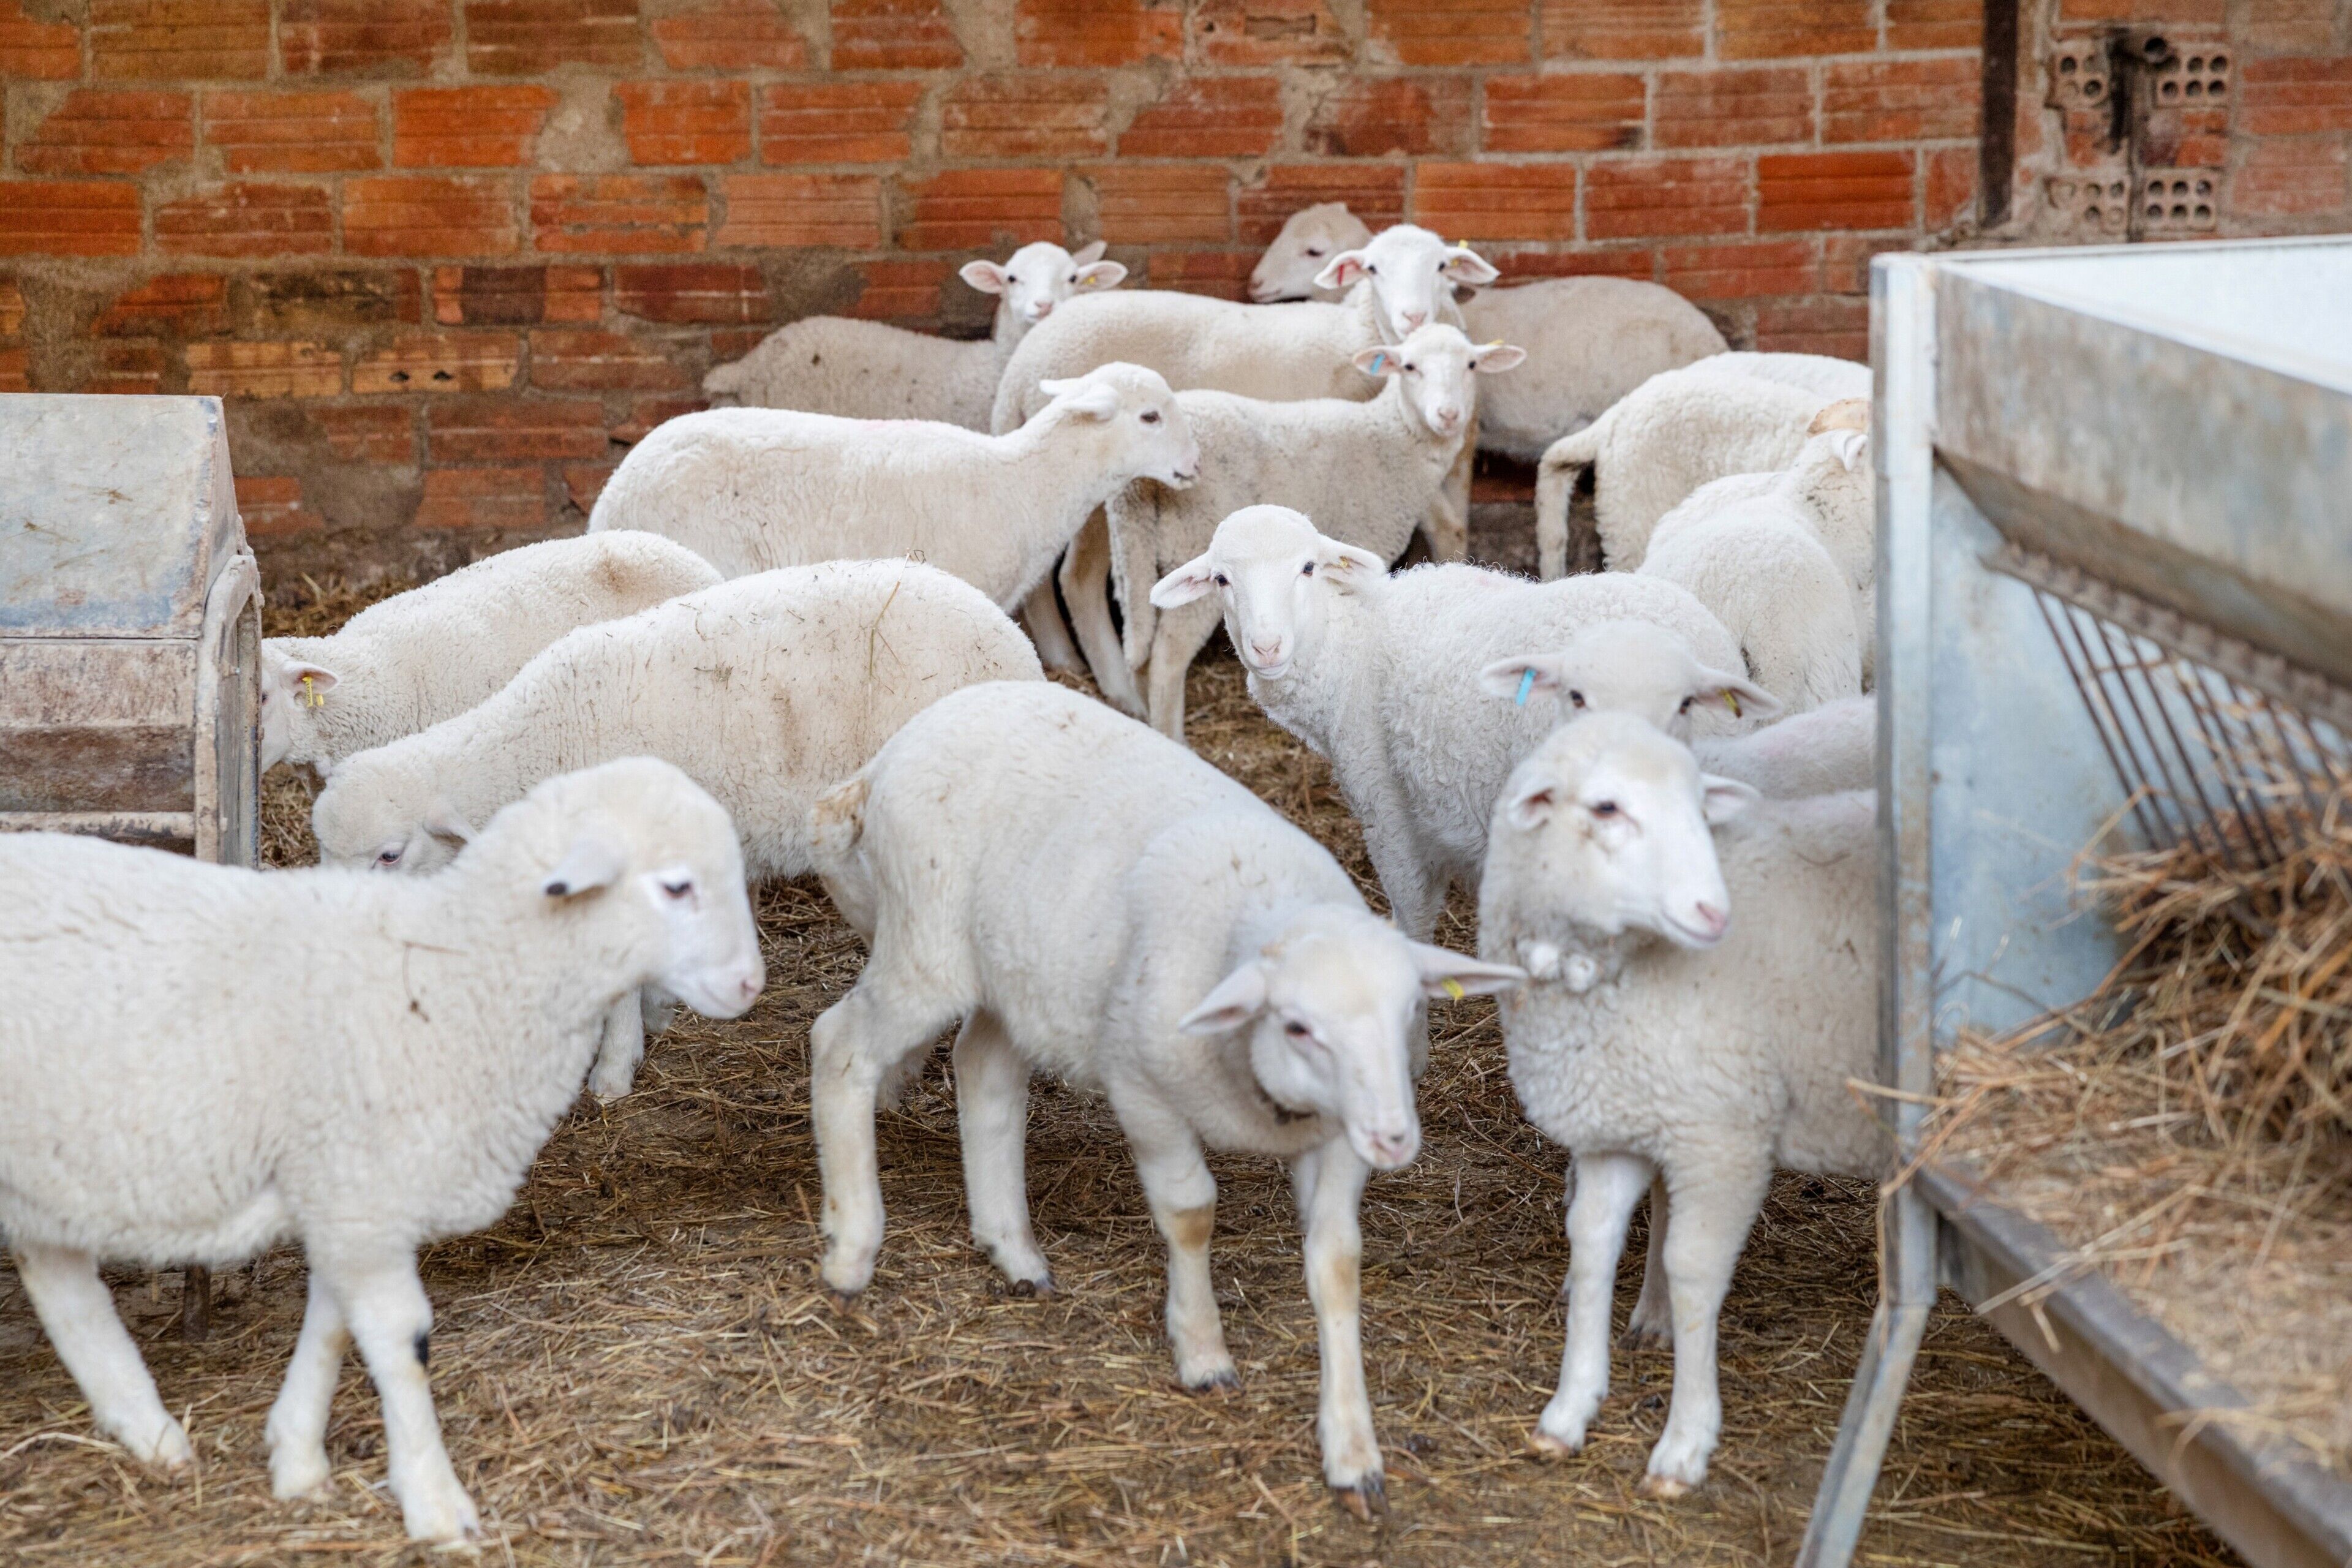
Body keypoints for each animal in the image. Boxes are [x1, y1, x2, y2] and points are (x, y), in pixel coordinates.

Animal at [1, 757, 764, 1542]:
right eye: (677, 885)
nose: (750, 984)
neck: (456, 975)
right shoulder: (362, 1191)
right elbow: (403, 1340)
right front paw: (434, 1502)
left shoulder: (354, 1201)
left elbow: (335, 1326)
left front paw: (297, 1457)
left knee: (61, 1283)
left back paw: (151, 1432)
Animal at [803, 679, 1523, 1513]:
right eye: (1298, 1026)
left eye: (1411, 1007)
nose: (1396, 1139)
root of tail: (885, 756)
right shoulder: (1143, 1092)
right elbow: (1191, 1213)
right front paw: (1203, 1350)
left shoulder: (1337, 1138)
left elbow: (1338, 1263)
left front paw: (1352, 1447)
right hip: (927, 942)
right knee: (842, 1045)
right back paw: (852, 1248)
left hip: (1014, 968)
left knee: (983, 1068)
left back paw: (1014, 1248)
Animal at [1070, 323, 1525, 735]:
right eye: (1410, 367)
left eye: (1471, 366)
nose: (1448, 416)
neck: (1392, 437)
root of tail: (1137, 484)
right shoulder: (1362, 534)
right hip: (1193, 545)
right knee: (1166, 658)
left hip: (1134, 552)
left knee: (1139, 648)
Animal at [1149, 506, 1768, 943]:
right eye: (1222, 580)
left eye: (1307, 568)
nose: (1267, 647)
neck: (1348, 642)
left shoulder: (1388, 809)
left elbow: (1413, 912)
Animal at [1477, 712, 1887, 1496]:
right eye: (1606, 807)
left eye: (1701, 808)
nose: (1713, 911)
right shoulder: (1623, 1118)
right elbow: (1592, 1244)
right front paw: (1570, 1407)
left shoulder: (1723, 1138)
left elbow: (1692, 1269)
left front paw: (1686, 1441)